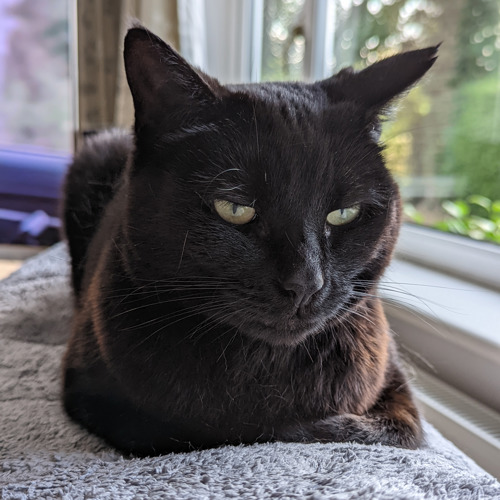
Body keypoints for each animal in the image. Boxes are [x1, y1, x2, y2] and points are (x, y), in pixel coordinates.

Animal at [62, 24, 438, 458]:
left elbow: (360, 431)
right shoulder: (99, 398)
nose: (305, 284)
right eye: (234, 208)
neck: (265, 368)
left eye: (345, 214)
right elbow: (211, 431)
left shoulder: (397, 391)